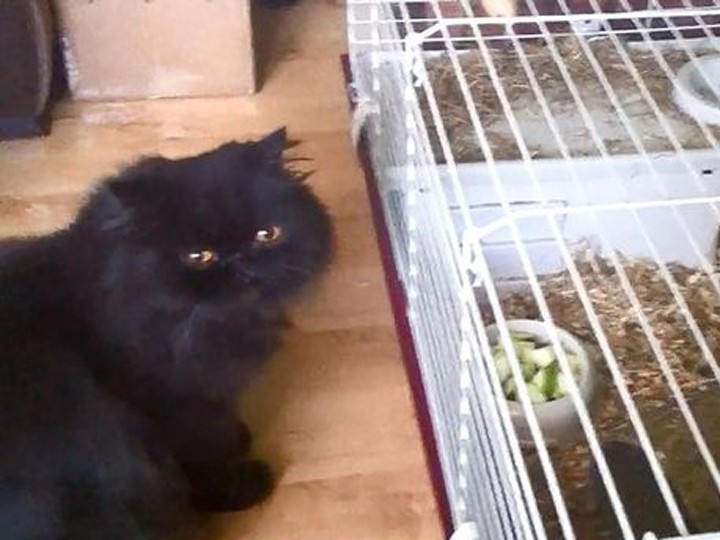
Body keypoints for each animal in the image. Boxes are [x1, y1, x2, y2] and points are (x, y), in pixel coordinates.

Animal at [0, 127, 333, 539]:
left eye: (266, 234)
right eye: (198, 257)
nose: (242, 262)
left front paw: (239, 435)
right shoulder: (174, 410)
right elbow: (203, 461)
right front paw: (242, 484)